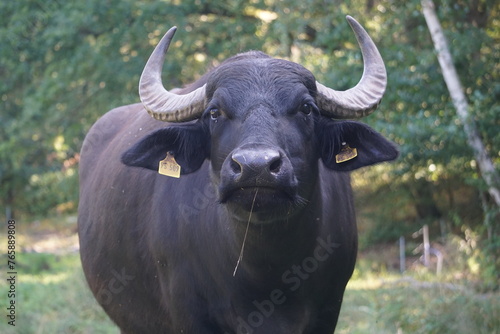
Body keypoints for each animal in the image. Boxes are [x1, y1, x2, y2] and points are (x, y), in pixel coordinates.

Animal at [78, 15, 398, 334]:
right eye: (214, 112)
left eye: (307, 108)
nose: (256, 166)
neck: (265, 271)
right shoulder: (188, 314)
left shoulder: (328, 310)